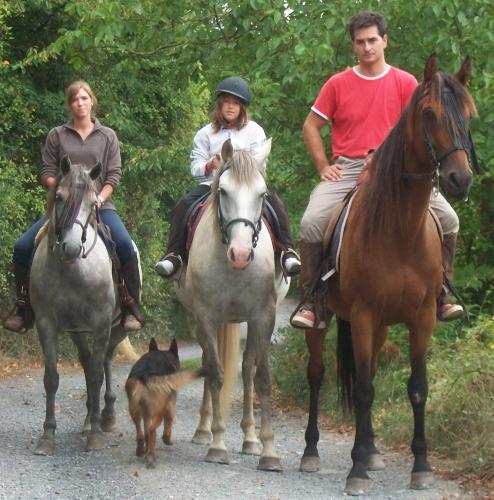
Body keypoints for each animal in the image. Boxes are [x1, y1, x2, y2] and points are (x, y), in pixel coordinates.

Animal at [29, 155, 127, 454]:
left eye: (92, 203)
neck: (72, 271)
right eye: (60, 198)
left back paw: (106, 417)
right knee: (87, 362)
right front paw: (47, 435)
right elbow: (52, 377)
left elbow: (96, 376)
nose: (71, 248)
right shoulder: (47, 324)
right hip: (77, 331)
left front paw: (95, 436)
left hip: (116, 328)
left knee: (104, 360)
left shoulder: (101, 323)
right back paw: (87, 420)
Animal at [127, 338, 206, 466]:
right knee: (152, 431)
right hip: (158, 412)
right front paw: (167, 439)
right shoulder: (170, 406)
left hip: (136, 412)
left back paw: (141, 451)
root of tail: (146, 374)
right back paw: (150, 456)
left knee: (141, 433)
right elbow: (168, 424)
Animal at [176, 139, 290, 470]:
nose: (240, 255)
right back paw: (203, 431)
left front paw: (268, 451)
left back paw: (250, 439)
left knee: (248, 369)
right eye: (224, 191)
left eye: (262, 194)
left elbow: (261, 376)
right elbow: (215, 373)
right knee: (207, 362)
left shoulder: (264, 317)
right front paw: (217, 444)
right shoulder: (206, 317)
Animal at [300, 53, 476, 492]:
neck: (400, 229)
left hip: (380, 327)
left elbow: (416, 388)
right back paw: (312, 452)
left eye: (468, 114)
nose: (460, 179)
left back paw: (370, 450)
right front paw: (356, 473)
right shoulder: (363, 315)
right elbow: (362, 391)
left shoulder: (421, 318)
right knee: (316, 375)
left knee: (373, 373)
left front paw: (421, 467)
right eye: (429, 114)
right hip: (327, 323)